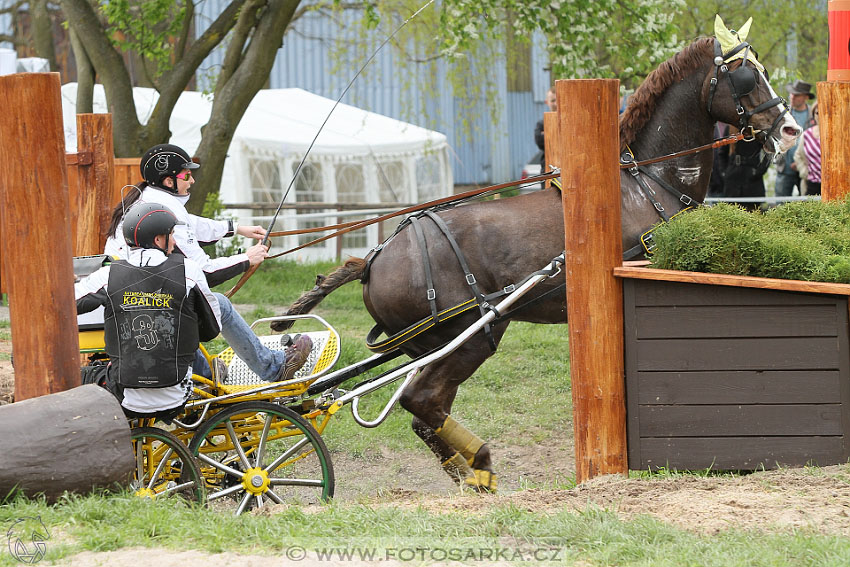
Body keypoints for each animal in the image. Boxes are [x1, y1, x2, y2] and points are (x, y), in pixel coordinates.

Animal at [276, 23, 796, 492]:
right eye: (745, 76)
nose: (789, 129)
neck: (646, 184)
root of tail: (374, 258)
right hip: (473, 336)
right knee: (422, 402)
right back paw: (480, 466)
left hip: (437, 345)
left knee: (425, 411)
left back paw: (472, 473)